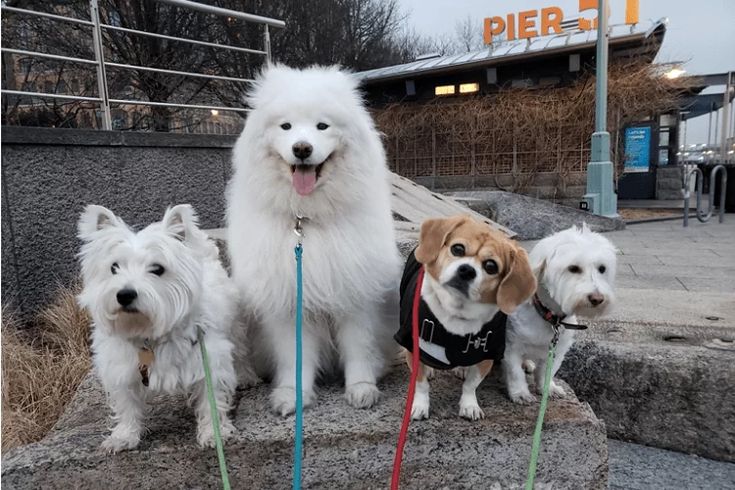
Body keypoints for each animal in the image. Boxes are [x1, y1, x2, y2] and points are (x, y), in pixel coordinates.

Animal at [77, 203, 239, 452]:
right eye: (114, 267)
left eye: (157, 269)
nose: (124, 294)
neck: (147, 334)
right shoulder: (121, 367)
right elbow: (126, 404)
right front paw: (123, 437)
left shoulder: (208, 359)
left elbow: (210, 399)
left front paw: (214, 433)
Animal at [229, 64, 402, 418]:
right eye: (286, 126)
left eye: (323, 126)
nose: (302, 148)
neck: (306, 219)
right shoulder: (288, 301)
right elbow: (294, 356)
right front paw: (292, 395)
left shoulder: (355, 292)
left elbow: (358, 346)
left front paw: (362, 388)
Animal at [504, 226, 620, 402]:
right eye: (573, 268)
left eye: (602, 269)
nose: (597, 299)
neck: (550, 317)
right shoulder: (512, 344)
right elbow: (514, 372)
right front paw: (521, 393)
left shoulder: (557, 350)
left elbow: (547, 371)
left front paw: (548, 388)